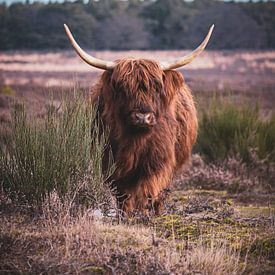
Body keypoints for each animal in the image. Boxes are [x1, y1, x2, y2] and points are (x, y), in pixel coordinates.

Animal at [63, 23, 215, 216]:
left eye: (156, 87)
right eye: (123, 87)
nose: (143, 117)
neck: (135, 141)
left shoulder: (158, 161)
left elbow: (148, 188)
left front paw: (143, 212)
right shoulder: (110, 163)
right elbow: (122, 193)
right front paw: (126, 214)